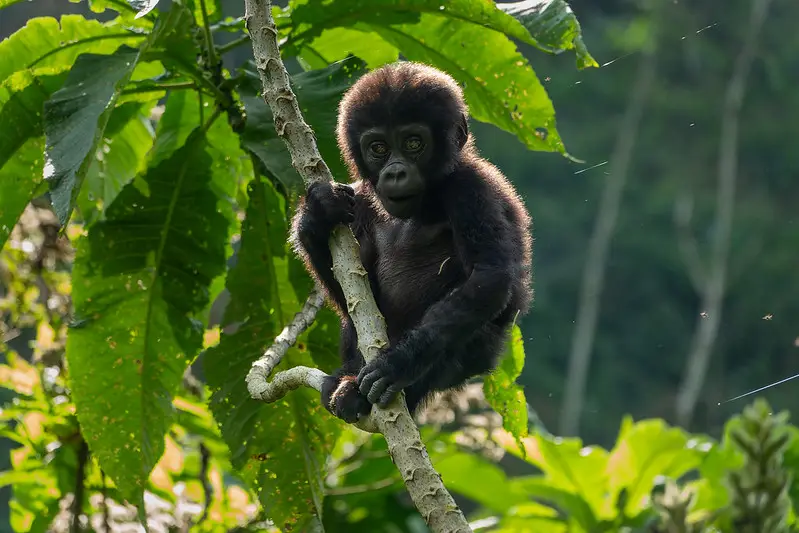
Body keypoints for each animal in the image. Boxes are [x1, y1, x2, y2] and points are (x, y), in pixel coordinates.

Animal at [290, 61, 532, 423]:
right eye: (378, 148)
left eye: (413, 143)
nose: (395, 172)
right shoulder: (361, 200)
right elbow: (355, 296)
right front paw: (317, 215)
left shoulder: (473, 187)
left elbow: (489, 276)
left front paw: (399, 364)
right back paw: (344, 377)